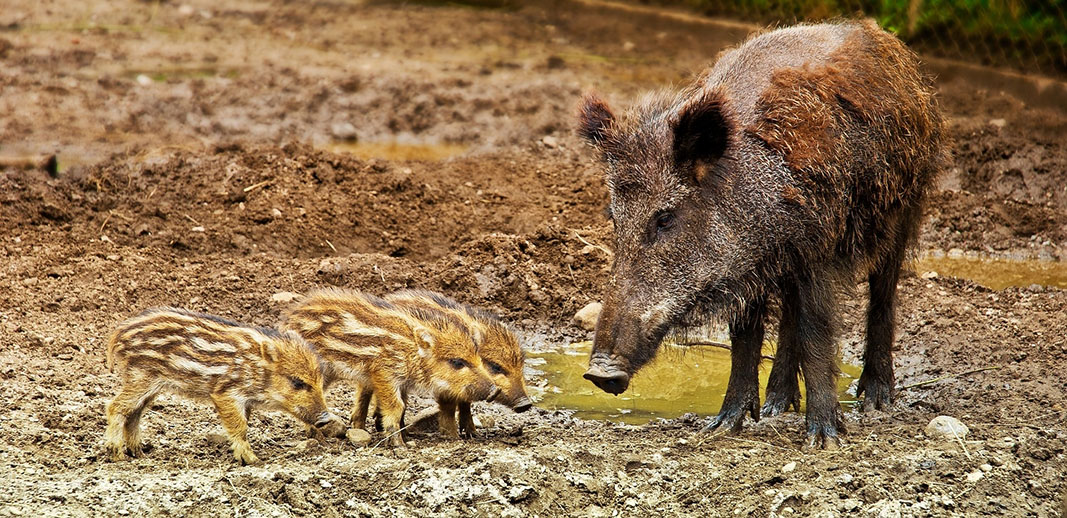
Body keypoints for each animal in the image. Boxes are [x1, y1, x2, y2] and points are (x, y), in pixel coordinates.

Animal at [104, 308, 337, 465]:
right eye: (297, 382)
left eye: (319, 381)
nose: (325, 418)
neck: (257, 369)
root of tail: (119, 333)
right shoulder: (226, 393)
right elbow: (240, 426)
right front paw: (252, 460)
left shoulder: (246, 401)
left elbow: (244, 424)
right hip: (142, 378)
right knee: (116, 407)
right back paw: (117, 455)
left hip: (150, 385)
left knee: (134, 413)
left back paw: (139, 453)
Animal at [281, 289, 499, 447]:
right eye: (457, 362)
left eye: (478, 357)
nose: (494, 390)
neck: (412, 352)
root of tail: (288, 319)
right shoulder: (384, 373)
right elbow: (396, 407)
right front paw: (400, 445)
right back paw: (318, 438)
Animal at [384, 290, 532, 437]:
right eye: (496, 367)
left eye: (521, 365)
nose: (526, 404)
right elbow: (448, 406)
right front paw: (453, 436)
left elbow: (466, 404)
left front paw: (472, 434)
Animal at [578, 20, 946, 448]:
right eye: (613, 216)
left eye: (665, 218)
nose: (599, 373)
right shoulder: (748, 267)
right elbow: (745, 338)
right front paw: (722, 427)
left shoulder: (816, 251)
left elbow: (816, 331)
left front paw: (824, 440)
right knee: (788, 315)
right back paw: (776, 405)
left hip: (906, 203)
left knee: (883, 292)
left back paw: (876, 399)